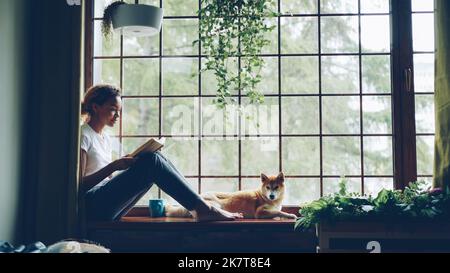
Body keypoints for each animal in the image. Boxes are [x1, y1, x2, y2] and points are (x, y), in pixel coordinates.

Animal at [163, 172, 298, 219]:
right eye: (268, 187)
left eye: (276, 187)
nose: (271, 196)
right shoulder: (260, 212)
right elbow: (279, 212)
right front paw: (290, 215)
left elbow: (277, 212)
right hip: (217, 204)